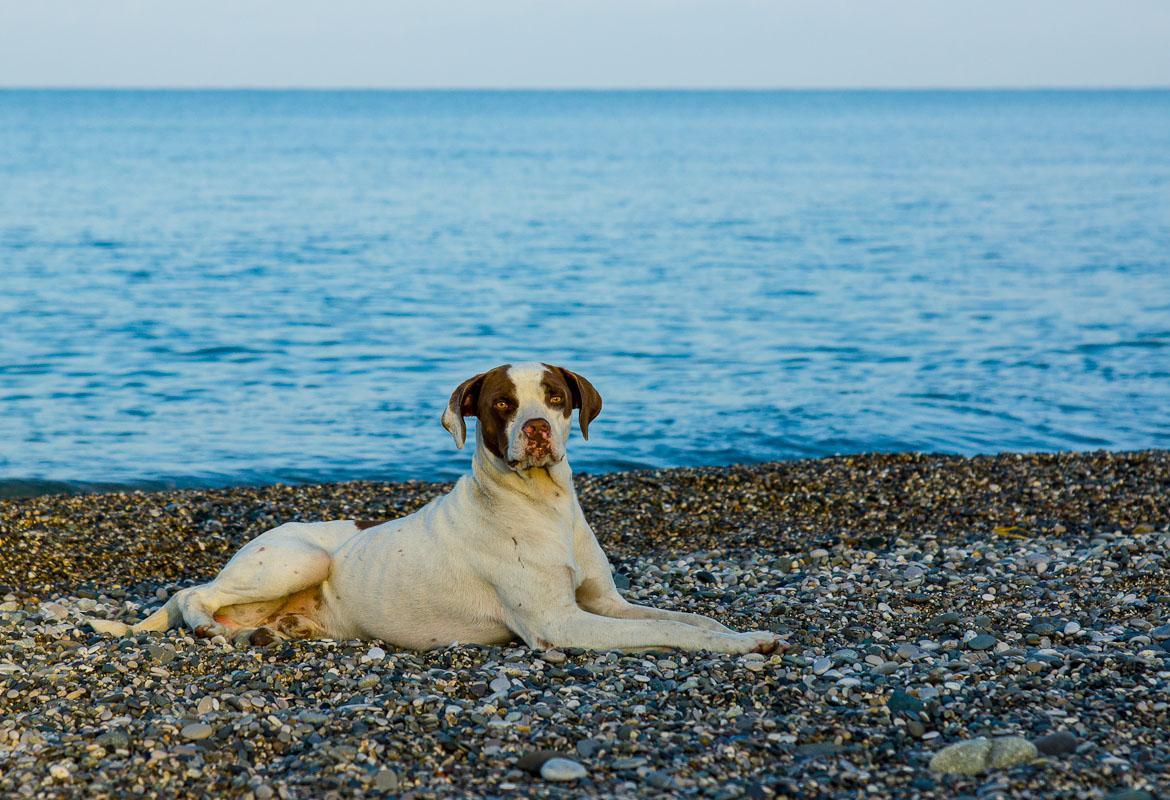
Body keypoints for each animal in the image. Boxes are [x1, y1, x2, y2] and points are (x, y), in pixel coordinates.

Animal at [91, 364, 781, 654]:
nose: (536, 428)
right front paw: (742, 645)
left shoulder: (605, 603)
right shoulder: (561, 624)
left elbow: (690, 618)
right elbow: (675, 631)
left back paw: (269, 630)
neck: (545, 506)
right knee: (192, 593)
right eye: (502, 404)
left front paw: (743, 632)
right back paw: (207, 627)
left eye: (555, 397)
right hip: (297, 558)